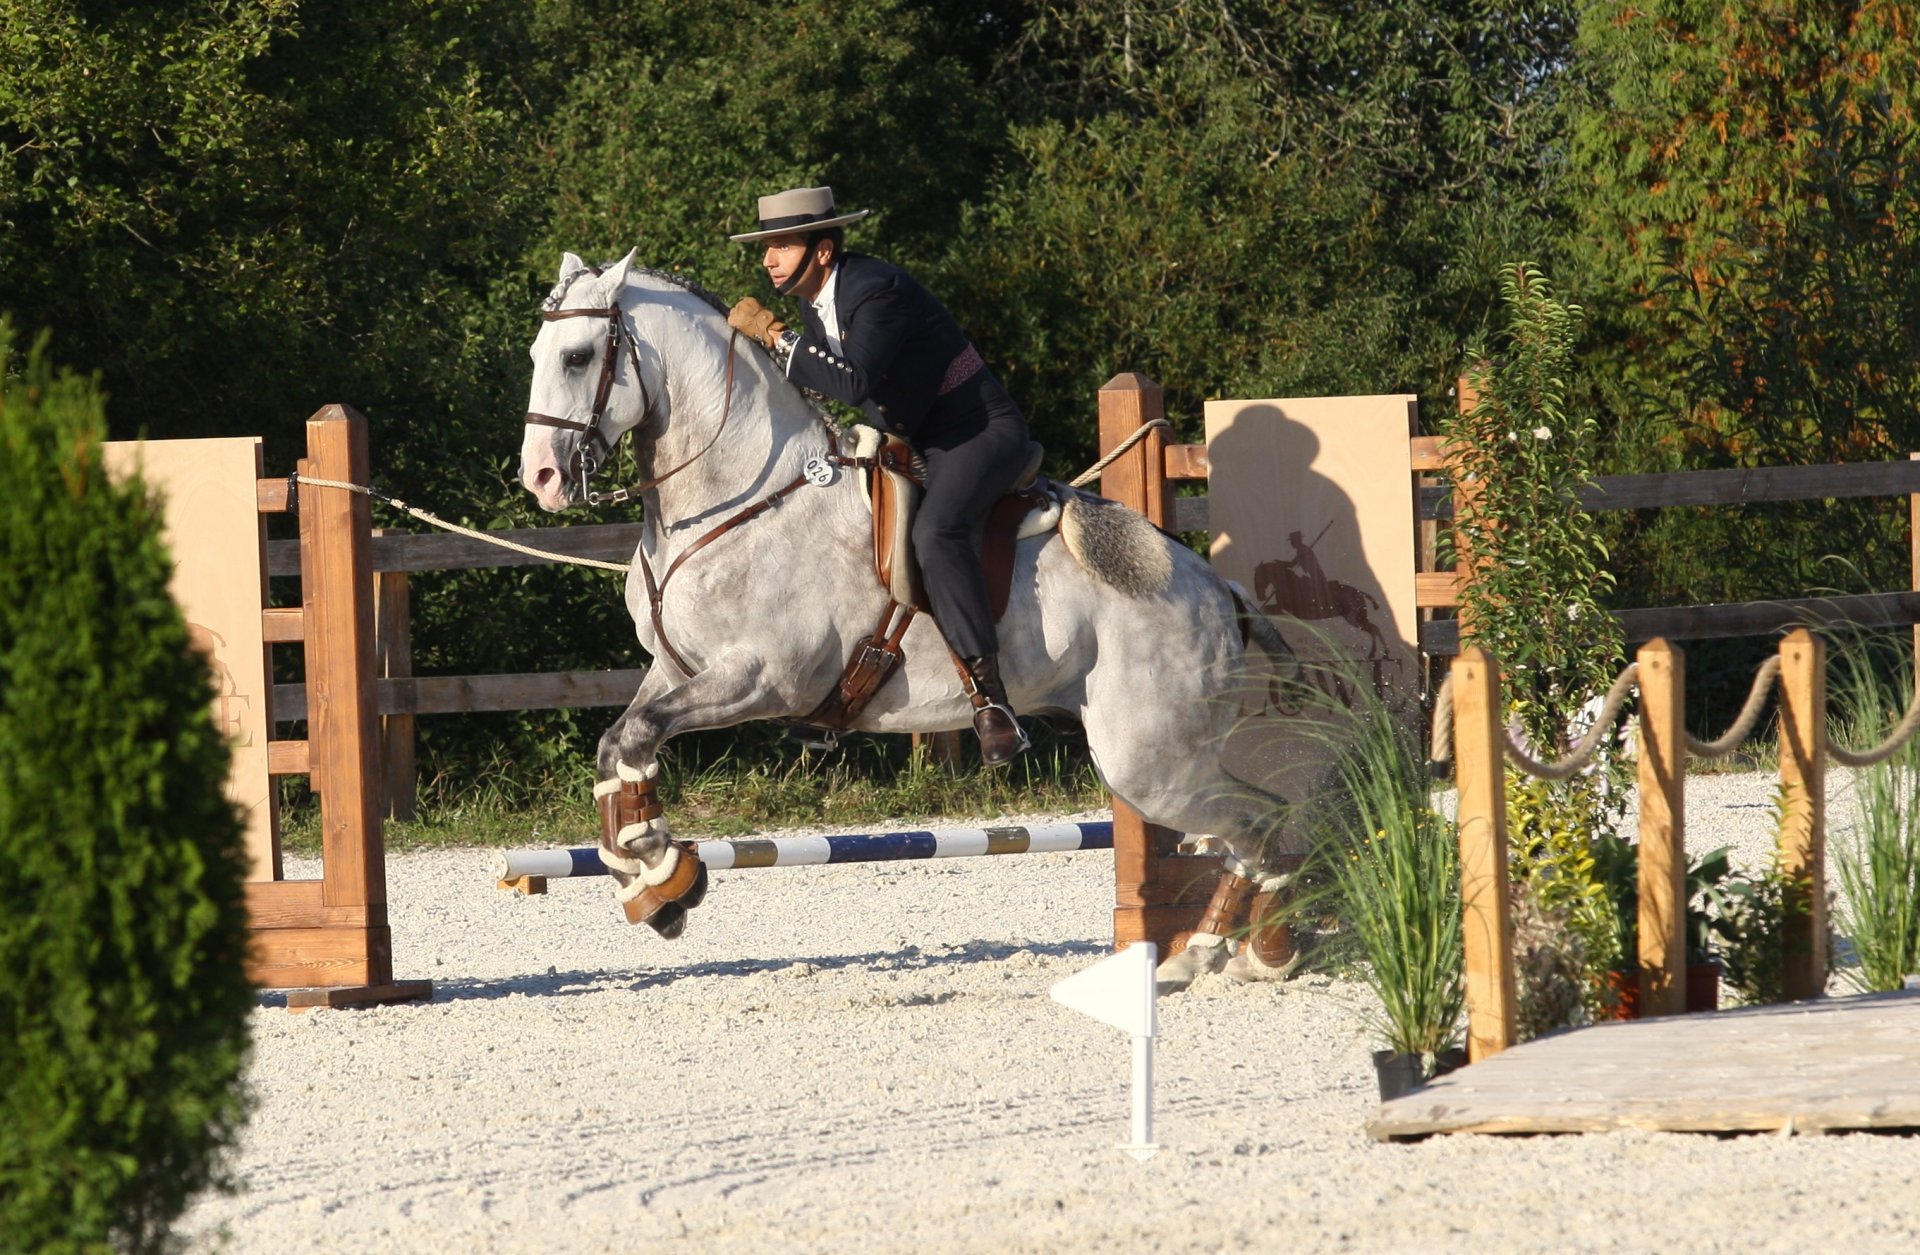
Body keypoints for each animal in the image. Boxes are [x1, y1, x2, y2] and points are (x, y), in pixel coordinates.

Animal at [522, 247, 1305, 990]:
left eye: (577, 356)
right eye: (537, 353)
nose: (541, 479)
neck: (741, 498)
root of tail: (1217, 588)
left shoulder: (763, 678)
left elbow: (636, 737)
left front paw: (663, 873)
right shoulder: (675, 669)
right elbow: (620, 745)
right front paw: (653, 885)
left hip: (1147, 759)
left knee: (1262, 820)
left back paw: (1228, 952)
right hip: (1161, 755)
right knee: (1255, 826)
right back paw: (1234, 950)